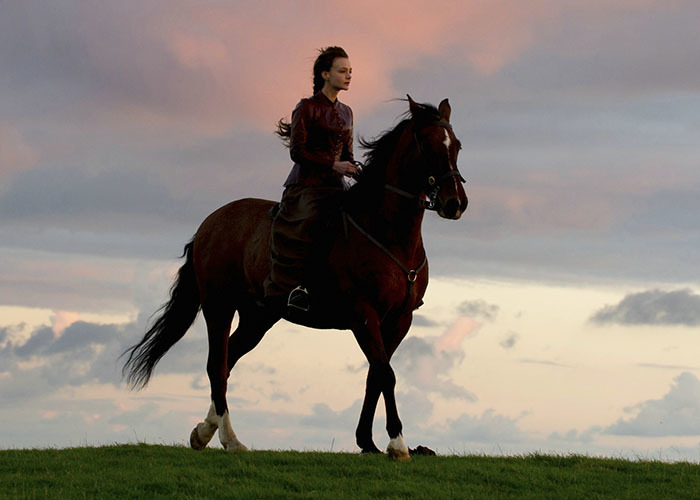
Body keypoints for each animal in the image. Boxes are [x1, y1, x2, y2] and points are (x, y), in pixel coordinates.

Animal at [123, 94, 468, 460]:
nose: (455, 203)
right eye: (429, 145)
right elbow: (385, 374)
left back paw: (205, 431)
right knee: (217, 365)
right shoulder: (364, 315)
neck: (386, 233)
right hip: (219, 307)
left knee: (228, 360)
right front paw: (397, 443)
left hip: (257, 317)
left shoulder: (400, 319)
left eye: (457, 145)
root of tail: (210, 223)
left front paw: (367, 442)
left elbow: (375, 375)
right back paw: (230, 438)